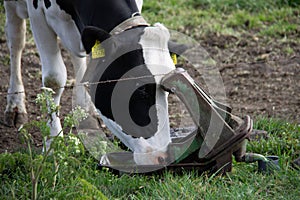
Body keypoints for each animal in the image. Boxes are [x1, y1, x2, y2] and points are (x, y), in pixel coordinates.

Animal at [4, 0, 176, 165]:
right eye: (140, 89)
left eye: (168, 90)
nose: (163, 156)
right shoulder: (37, 14)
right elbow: (54, 79)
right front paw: (52, 144)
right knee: (16, 38)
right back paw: (15, 106)